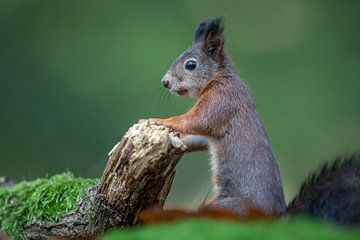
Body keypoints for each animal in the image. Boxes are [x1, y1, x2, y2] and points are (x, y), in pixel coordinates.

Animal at [149, 17, 360, 226]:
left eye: (191, 65)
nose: (165, 82)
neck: (220, 77)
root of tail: (276, 219)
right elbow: (199, 137)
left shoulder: (222, 100)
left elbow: (198, 120)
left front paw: (159, 120)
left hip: (231, 207)